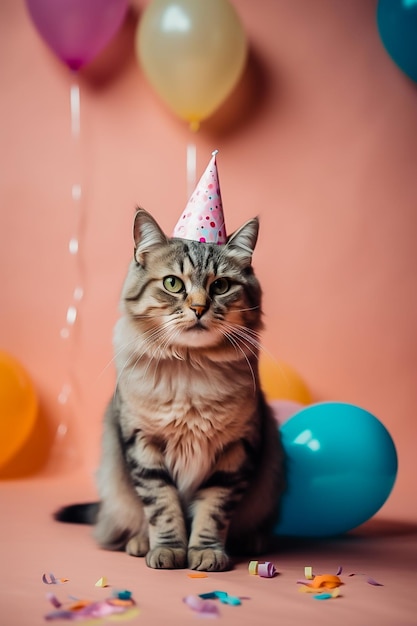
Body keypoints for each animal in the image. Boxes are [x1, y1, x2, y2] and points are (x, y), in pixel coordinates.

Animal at [55, 208, 284, 572]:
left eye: (220, 286)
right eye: (173, 284)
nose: (199, 308)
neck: (190, 366)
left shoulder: (235, 451)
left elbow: (213, 511)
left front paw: (206, 551)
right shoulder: (143, 444)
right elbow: (162, 507)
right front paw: (167, 549)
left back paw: (250, 542)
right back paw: (138, 542)